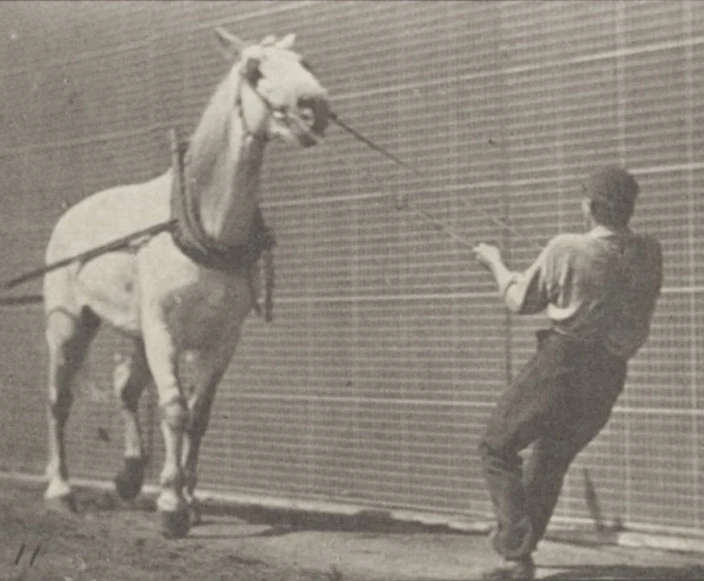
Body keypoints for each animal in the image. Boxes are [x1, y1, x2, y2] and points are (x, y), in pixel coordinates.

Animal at [41, 30, 330, 540]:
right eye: (254, 69)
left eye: (304, 62)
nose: (314, 106)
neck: (205, 225)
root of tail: (72, 214)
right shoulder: (164, 330)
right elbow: (174, 409)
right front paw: (172, 505)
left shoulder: (223, 337)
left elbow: (198, 415)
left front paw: (189, 499)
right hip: (70, 324)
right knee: (60, 399)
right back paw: (60, 491)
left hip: (132, 331)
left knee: (126, 390)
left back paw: (130, 474)